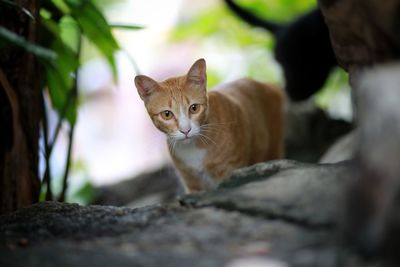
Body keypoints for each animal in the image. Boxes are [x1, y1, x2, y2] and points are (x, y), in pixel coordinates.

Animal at [135, 59, 284, 193]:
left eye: (194, 108)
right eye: (167, 114)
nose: (185, 130)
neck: (193, 149)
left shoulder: (231, 173)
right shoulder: (192, 185)